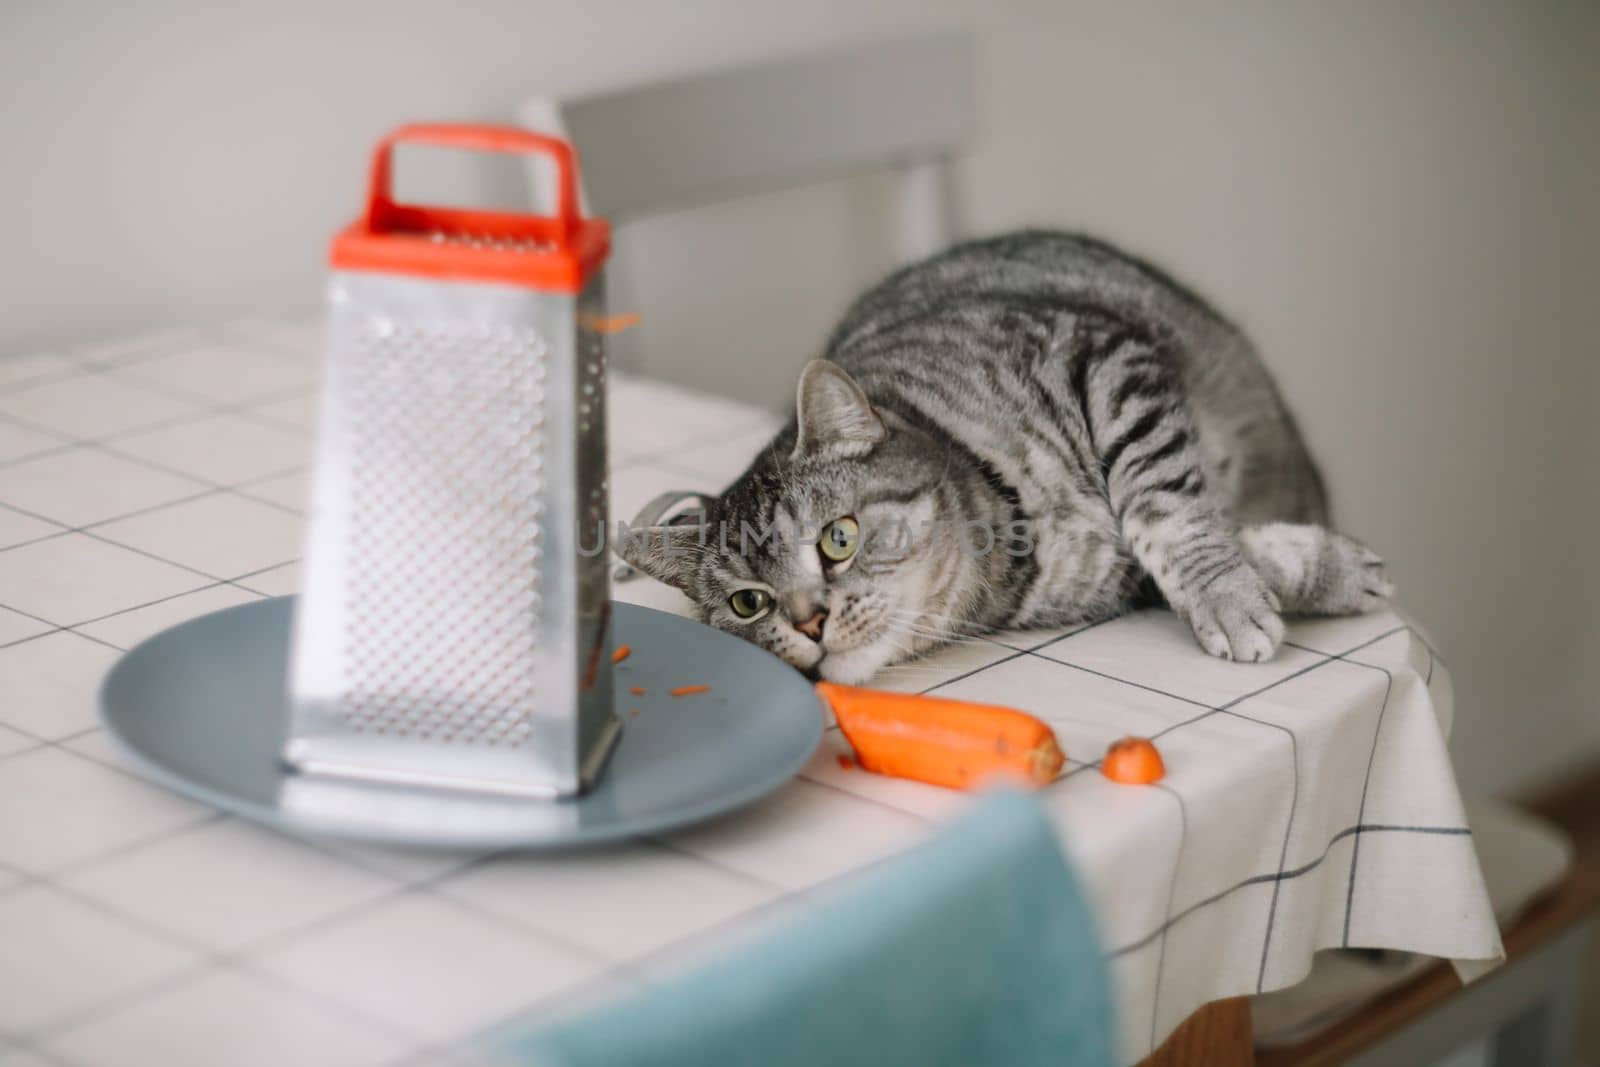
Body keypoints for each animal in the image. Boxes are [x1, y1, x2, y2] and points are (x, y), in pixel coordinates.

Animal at [617, 231, 1395, 684]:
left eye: (839, 537)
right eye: (749, 602)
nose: (809, 622)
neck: (1020, 524)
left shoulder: (1102, 358)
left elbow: (1165, 512)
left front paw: (1235, 596)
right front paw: (1318, 572)